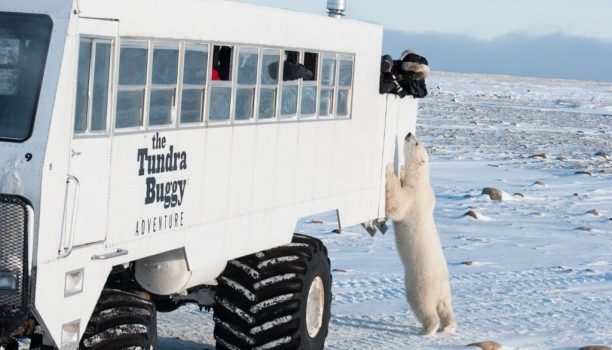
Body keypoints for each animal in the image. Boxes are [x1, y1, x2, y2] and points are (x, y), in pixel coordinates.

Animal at [384, 133, 456, 334]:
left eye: (415, 143)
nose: (409, 134)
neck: (421, 179)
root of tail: (439, 287)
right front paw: (400, 172)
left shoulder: (414, 197)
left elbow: (397, 205)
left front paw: (390, 169)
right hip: (445, 290)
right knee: (446, 306)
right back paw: (449, 326)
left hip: (420, 284)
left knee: (423, 306)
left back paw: (428, 329)